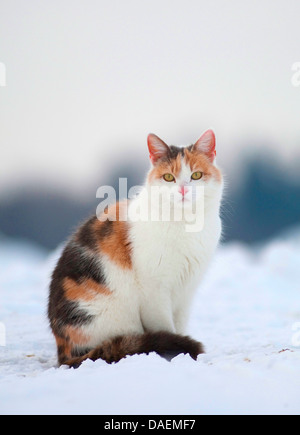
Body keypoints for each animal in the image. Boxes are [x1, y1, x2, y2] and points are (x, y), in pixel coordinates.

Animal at [48, 129, 223, 368]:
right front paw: (178, 354)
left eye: (196, 175)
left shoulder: (186, 292)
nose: (183, 190)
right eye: (169, 177)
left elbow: (179, 326)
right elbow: (167, 328)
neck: (187, 224)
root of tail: (63, 352)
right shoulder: (154, 292)